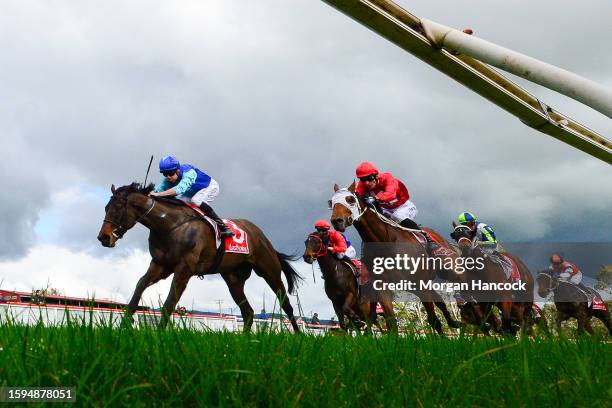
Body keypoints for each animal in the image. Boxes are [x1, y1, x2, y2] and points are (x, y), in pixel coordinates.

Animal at [96, 184, 304, 332]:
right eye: (106, 207)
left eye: (118, 207)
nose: (103, 237)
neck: (170, 225)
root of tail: (261, 235)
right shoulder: (160, 265)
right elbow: (139, 286)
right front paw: (124, 324)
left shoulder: (184, 269)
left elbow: (170, 302)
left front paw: (160, 334)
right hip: (234, 279)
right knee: (248, 312)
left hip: (269, 270)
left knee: (287, 305)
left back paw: (299, 336)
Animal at [330, 182, 460, 334]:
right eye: (331, 202)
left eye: (350, 199)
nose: (337, 221)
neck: (383, 240)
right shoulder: (382, 286)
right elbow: (391, 321)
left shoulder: (420, 283)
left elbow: (434, 320)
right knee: (439, 299)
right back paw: (453, 322)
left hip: (447, 272)